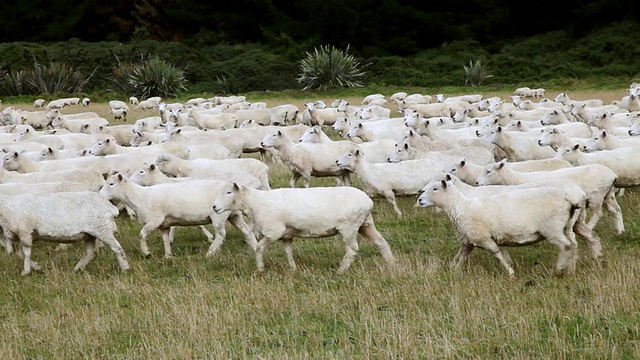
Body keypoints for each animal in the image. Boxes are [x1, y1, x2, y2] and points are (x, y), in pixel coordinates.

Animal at [0, 193, 131, 274]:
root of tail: (110, 208)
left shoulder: (25, 232)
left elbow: (26, 253)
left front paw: (26, 271)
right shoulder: (22, 236)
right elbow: (20, 254)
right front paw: (36, 266)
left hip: (102, 229)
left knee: (117, 249)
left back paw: (125, 268)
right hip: (90, 234)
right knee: (90, 252)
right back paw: (78, 268)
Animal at [98, 172, 258, 258]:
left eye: (111, 184)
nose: (99, 195)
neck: (139, 196)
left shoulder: (154, 220)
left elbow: (141, 234)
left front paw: (146, 252)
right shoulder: (163, 225)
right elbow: (165, 240)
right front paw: (168, 256)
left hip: (219, 215)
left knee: (221, 235)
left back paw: (210, 253)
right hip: (234, 215)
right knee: (247, 231)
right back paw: (255, 247)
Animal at [212, 181, 398, 272]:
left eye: (229, 192)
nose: (214, 207)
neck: (256, 203)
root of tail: (368, 201)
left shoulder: (274, 231)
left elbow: (258, 248)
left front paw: (260, 269)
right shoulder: (286, 235)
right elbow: (288, 252)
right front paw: (293, 269)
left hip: (349, 226)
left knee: (352, 249)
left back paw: (341, 270)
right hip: (365, 224)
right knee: (381, 242)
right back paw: (391, 263)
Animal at [416, 176, 580, 276]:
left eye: (435, 188)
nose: (420, 200)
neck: (461, 207)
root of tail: (568, 198)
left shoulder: (483, 238)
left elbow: (497, 253)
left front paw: (510, 272)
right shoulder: (468, 240)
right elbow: (462, 256)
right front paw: (454, 270)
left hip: (552, 229)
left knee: (566, 246)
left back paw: (558, 269)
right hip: (565, 227)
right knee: (573, 245)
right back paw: (570, 270)